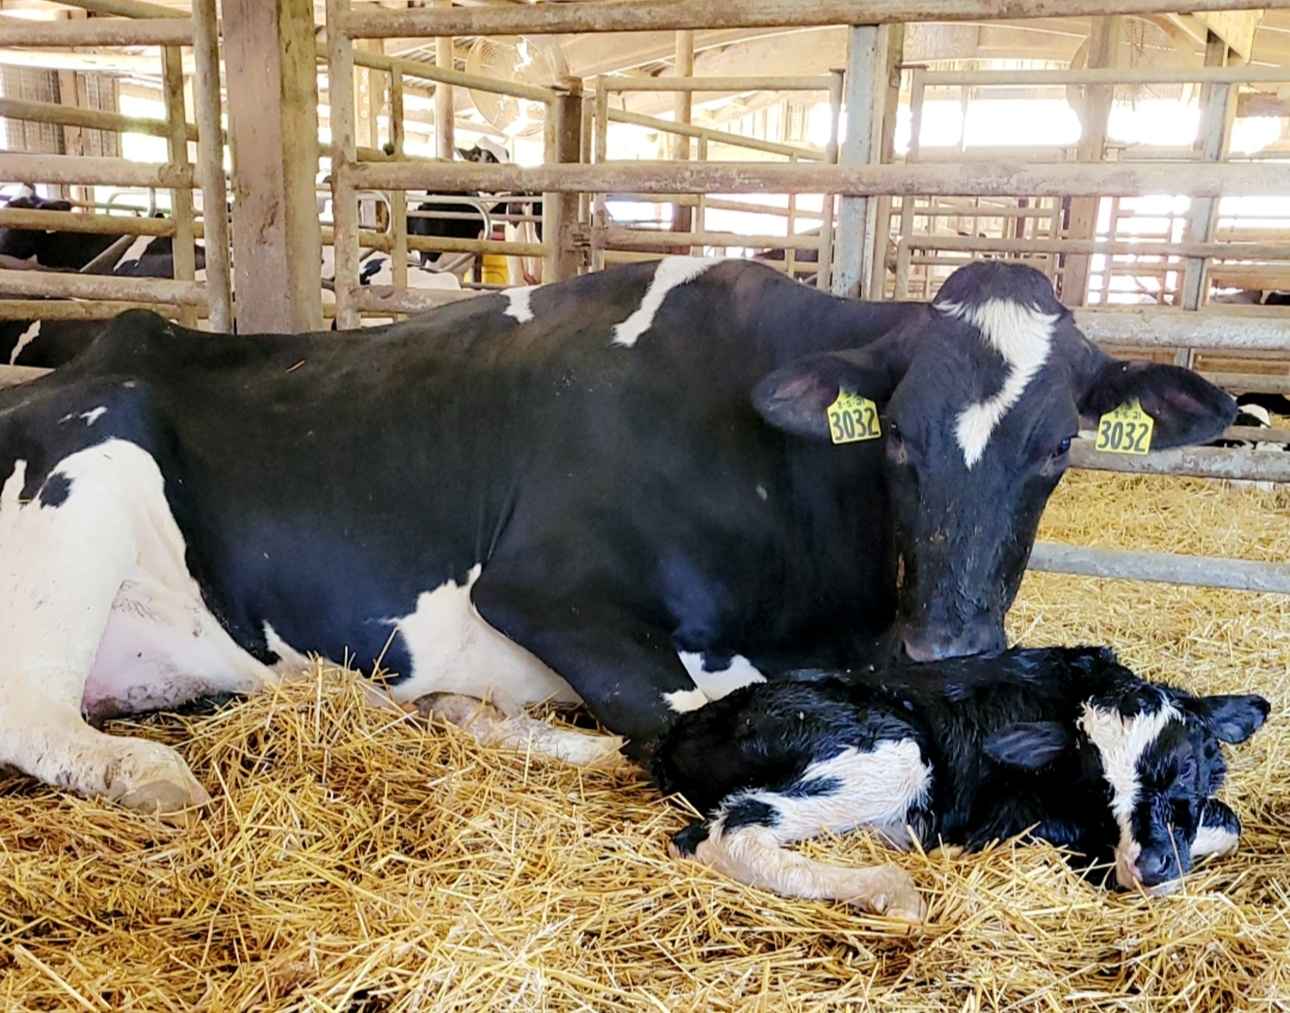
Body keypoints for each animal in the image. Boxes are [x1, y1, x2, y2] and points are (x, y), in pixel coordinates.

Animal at [0, 258, 1234, 818]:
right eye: (895, 436)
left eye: (1059, 445)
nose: (951, 639)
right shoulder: (541, 589)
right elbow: (685, 720)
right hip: (84, 479)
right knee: (34, 717)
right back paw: (157, 773)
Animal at [654, 645, 1269, 921]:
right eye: (1095, 785)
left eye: (1183, 766)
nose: (1151, 865)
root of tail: (683, 728)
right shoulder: (1018, 818)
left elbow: (1227, 820)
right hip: (894, 750)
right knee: (727, 831)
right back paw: (894, 892)